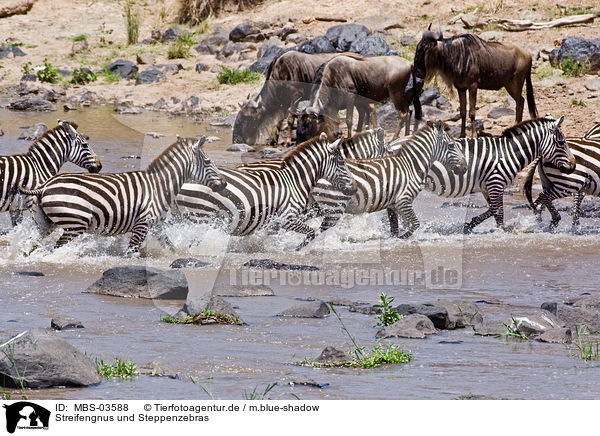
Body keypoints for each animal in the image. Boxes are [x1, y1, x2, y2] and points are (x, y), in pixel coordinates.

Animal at [19, 135, 225, 254]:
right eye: (208, 162)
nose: (223, 184)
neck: (159, 186)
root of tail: (45, 186)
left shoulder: (157, 226)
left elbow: (171, 247)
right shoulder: (142, 225)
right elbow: (131, 253)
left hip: (45, 224)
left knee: (32, 245)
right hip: (74, 225)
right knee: (55, 249)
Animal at [176, 132, 358, 249]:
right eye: (342, 162)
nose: (354, 188)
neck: (295, 181)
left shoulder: (275, 221)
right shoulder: (287, 218)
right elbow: (311, 233)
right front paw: (298, 250)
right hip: (202, 215)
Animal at [422, 115, 576, 232]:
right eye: (561, 143)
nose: (574, 166)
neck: (507, 153)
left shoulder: (487, 186)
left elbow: (492, 209)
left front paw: (469, 225)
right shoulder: (495, 183)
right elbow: (499, 212)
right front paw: (501, 231)